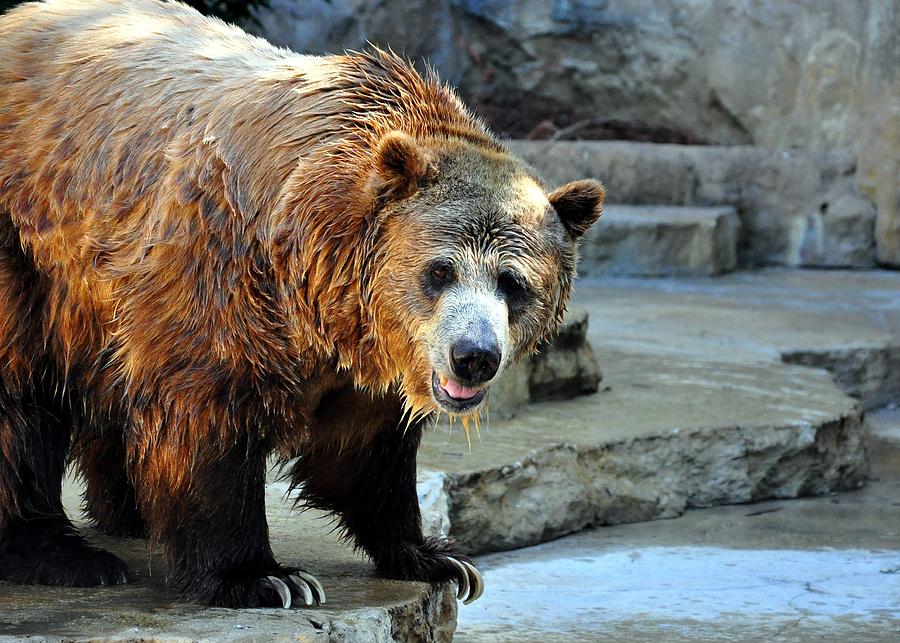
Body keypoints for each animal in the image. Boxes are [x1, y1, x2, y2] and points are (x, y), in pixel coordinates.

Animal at [0, 0, 604, 608]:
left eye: (513, 283)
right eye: (440, 270)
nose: (473, 355)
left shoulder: (366, 353)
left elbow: (368, 451)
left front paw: (439, 558)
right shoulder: (224, 273)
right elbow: (209, 411)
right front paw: (264, 576)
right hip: (30, 249)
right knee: (20, 394)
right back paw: (61, 552)